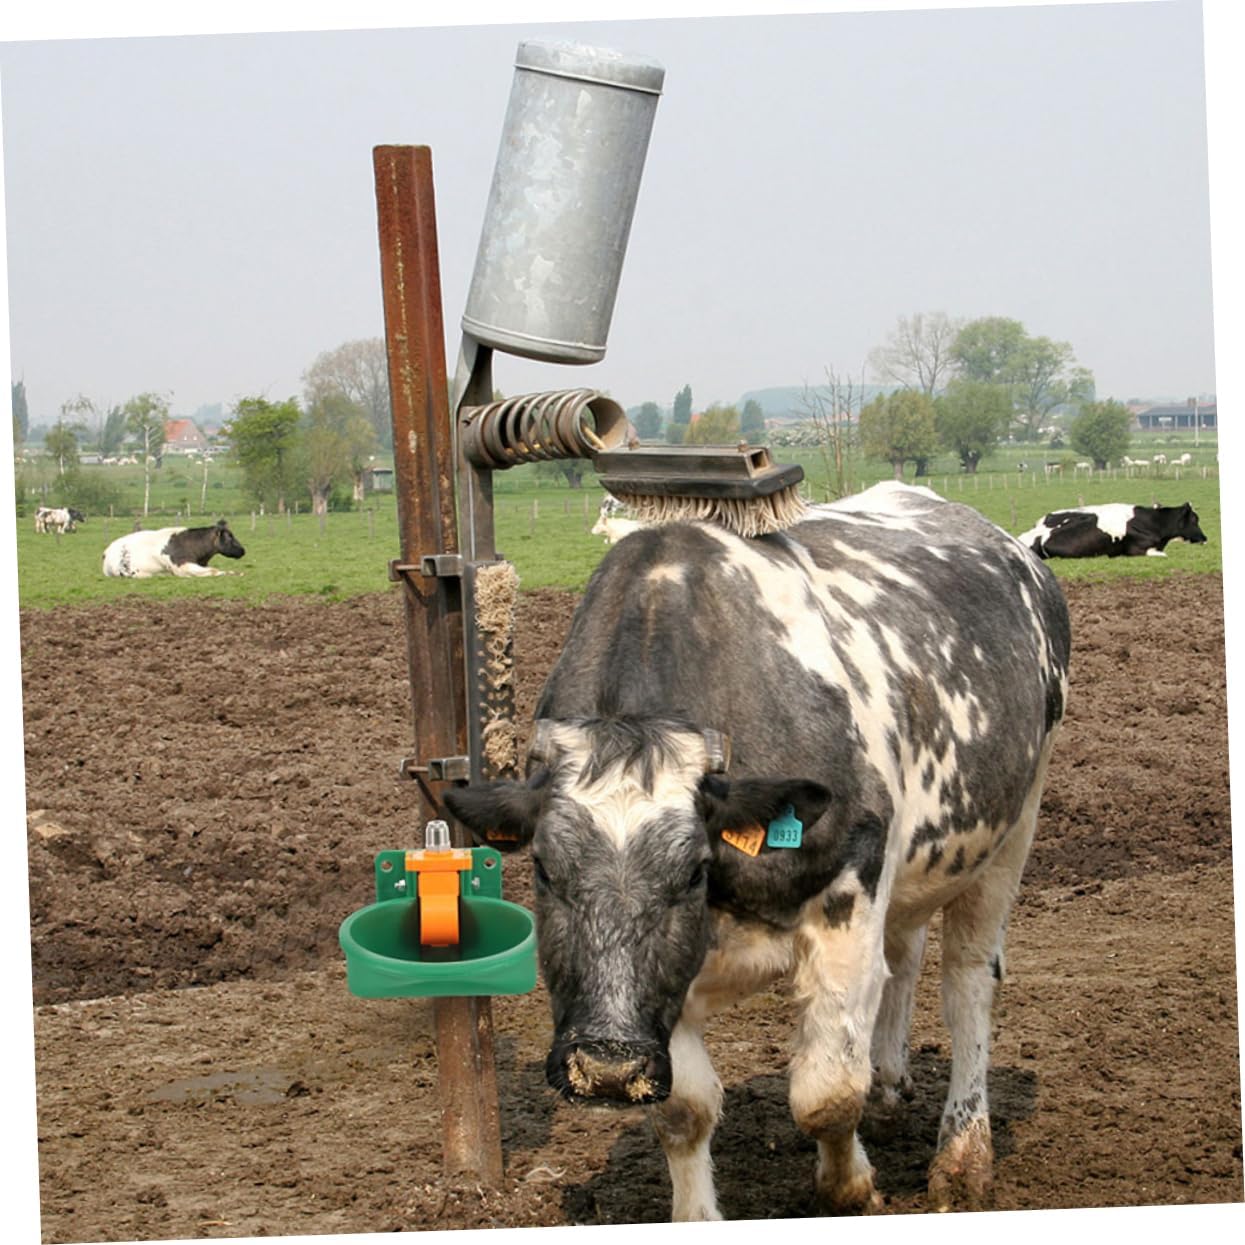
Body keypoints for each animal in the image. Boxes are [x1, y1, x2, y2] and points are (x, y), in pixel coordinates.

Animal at [445, 481, 1071, 1219]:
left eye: (691, 872)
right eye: (543, 868)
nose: (606, 1066)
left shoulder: (849, 897)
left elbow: (827, 1092)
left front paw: (851, 1187)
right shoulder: (670, 985)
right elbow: (683, 1111)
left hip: (1014, 825)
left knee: (968, 980)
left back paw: (963, 1154)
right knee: (905, 954)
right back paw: (890, 1089)